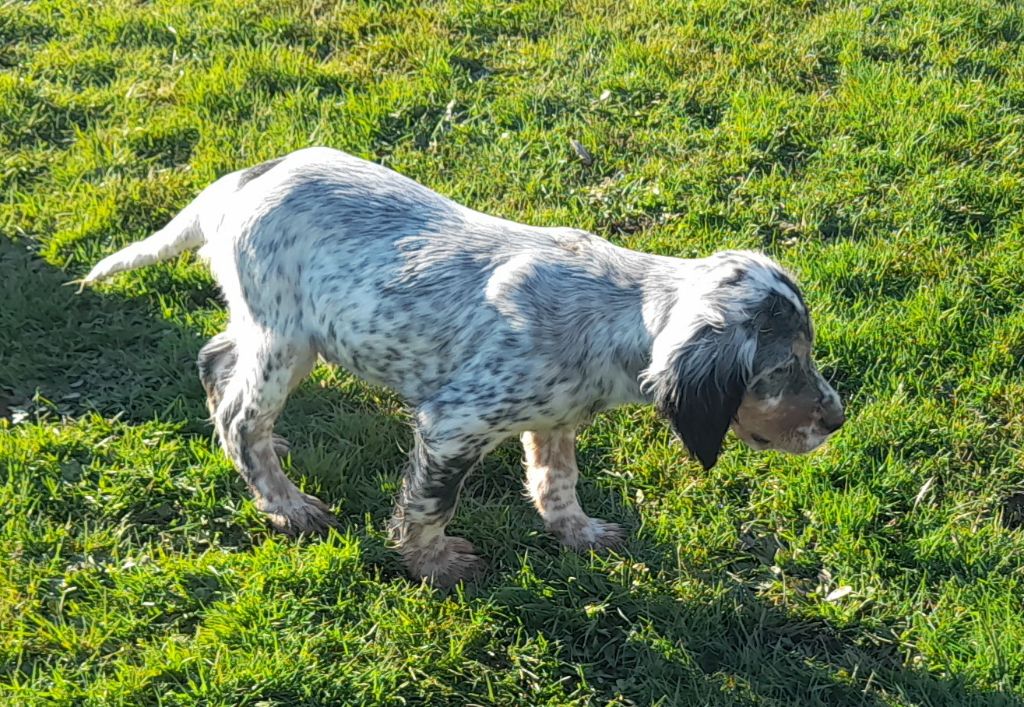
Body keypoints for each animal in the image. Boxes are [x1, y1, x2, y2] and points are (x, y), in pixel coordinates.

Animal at [83, 147, 843, 581]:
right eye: (781, 371)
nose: (837, 419)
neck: (616, 307)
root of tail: (243, 179)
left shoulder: (555, 419)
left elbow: (556, 481)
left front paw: (580, 533)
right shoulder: (453, 425)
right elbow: (430, 505)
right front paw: (435, 563)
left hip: (270, 329)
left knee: (217, 362)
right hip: (285, 336)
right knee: (242, 415)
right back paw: (287, 505)